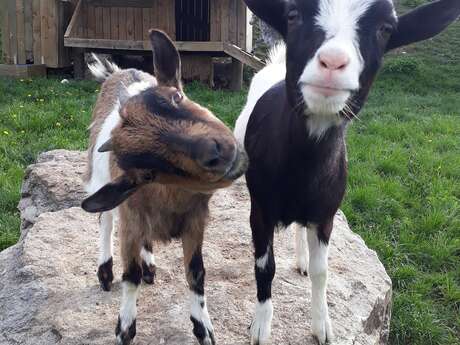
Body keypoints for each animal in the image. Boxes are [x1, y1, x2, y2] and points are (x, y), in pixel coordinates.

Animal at [82, 29, 248, 344]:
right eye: (147, 173)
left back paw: (149, 264)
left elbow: (196, 272)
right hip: (99, 180)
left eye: (177, 96)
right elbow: (130, 275)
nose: (216, 153)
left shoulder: (196, 221)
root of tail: (120, 71)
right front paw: (125, 327)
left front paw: (203, 327)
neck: (171, 199)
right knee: (105, 221)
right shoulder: (130, 218)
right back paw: (105, 271)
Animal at [235, 0, 458, 342]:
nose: (333, 61)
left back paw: (301, 260)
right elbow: (264, 266)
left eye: (385, 29)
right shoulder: (260, 209)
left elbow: (322, 271)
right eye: (292, 15)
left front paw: (321, 326)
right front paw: (261, 327)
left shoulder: (325, 215)